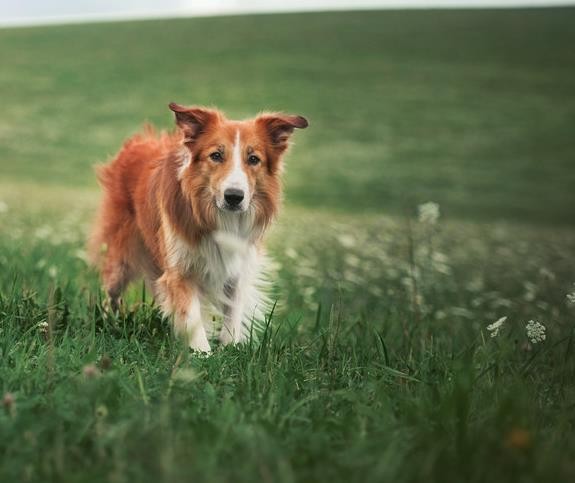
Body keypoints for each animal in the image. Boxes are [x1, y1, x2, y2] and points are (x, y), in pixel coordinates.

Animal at [88, 103, 308, 352]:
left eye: (253, 159)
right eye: (216, 155)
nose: (234, 197)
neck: (220, 218)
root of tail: (137, 142)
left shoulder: (238, 267)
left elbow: (233, 312)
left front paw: (230, 348)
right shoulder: (180, 270)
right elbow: (191, 316)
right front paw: (202, 354)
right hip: (120, 257)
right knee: (112, 291)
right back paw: (110, 323)